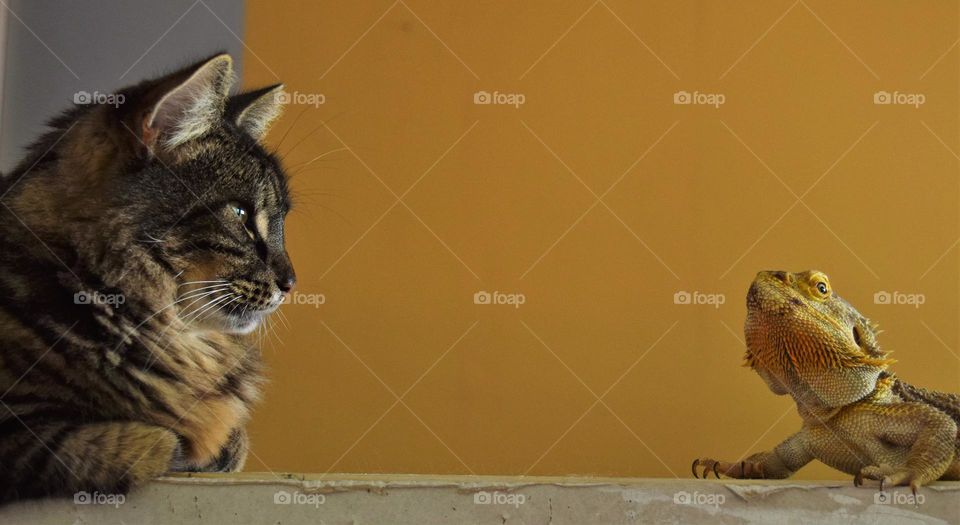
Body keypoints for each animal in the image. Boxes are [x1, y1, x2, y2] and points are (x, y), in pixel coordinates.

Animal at [0, 53, 294, 500]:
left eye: (282, 223)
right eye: (241, 215)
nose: (291, 282)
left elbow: (231, 440)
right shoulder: (19, 429)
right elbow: (152, 441)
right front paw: (190, 449)